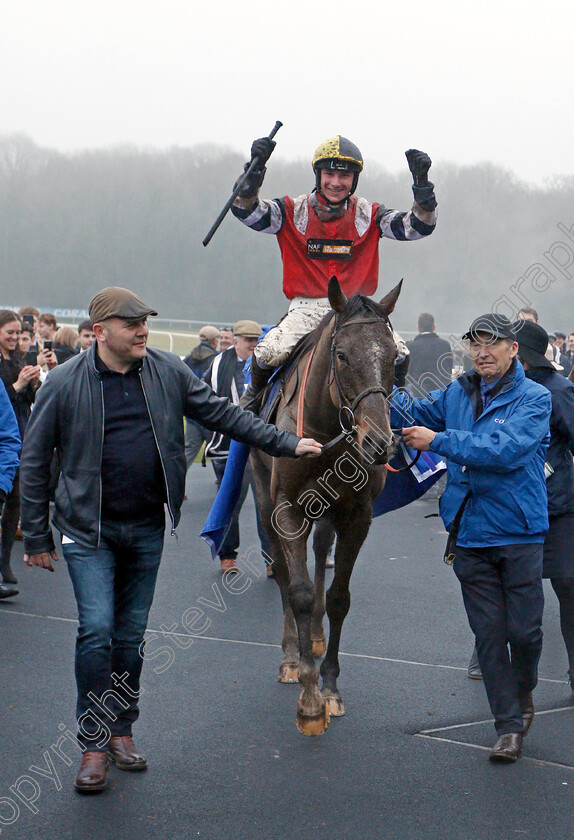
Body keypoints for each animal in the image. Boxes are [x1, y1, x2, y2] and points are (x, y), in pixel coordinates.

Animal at [252, 278, 404, 736]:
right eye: (342, 355)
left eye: (393, 358)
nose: (379, 442)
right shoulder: (286, 508)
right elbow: (298, 591)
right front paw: (309, 697)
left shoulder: (357, 515)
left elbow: (338, 597)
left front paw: (331, 688)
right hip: (263, 497)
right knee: (283, 572)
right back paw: (292, 653)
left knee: (321, 552)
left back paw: (315, 638)